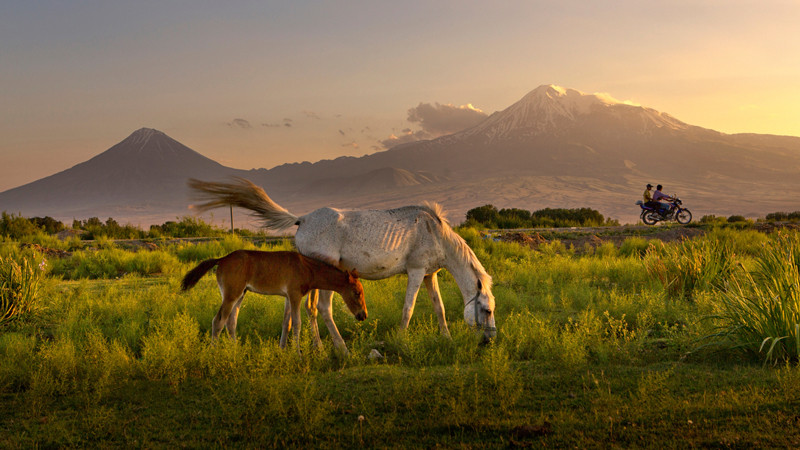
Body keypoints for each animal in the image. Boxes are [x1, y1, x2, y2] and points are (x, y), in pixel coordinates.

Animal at [190, 178, 496, 352]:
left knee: (299, 310)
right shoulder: (416, 272)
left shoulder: (430, 275)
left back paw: (295, 347)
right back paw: (339, 349)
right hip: (326, 275)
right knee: (323, 309)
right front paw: (400, 341)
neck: (434, 230)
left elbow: (439, 309)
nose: (489, 341)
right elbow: (408, 309)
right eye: (487, 310)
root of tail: (302, 219)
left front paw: (447, 339)